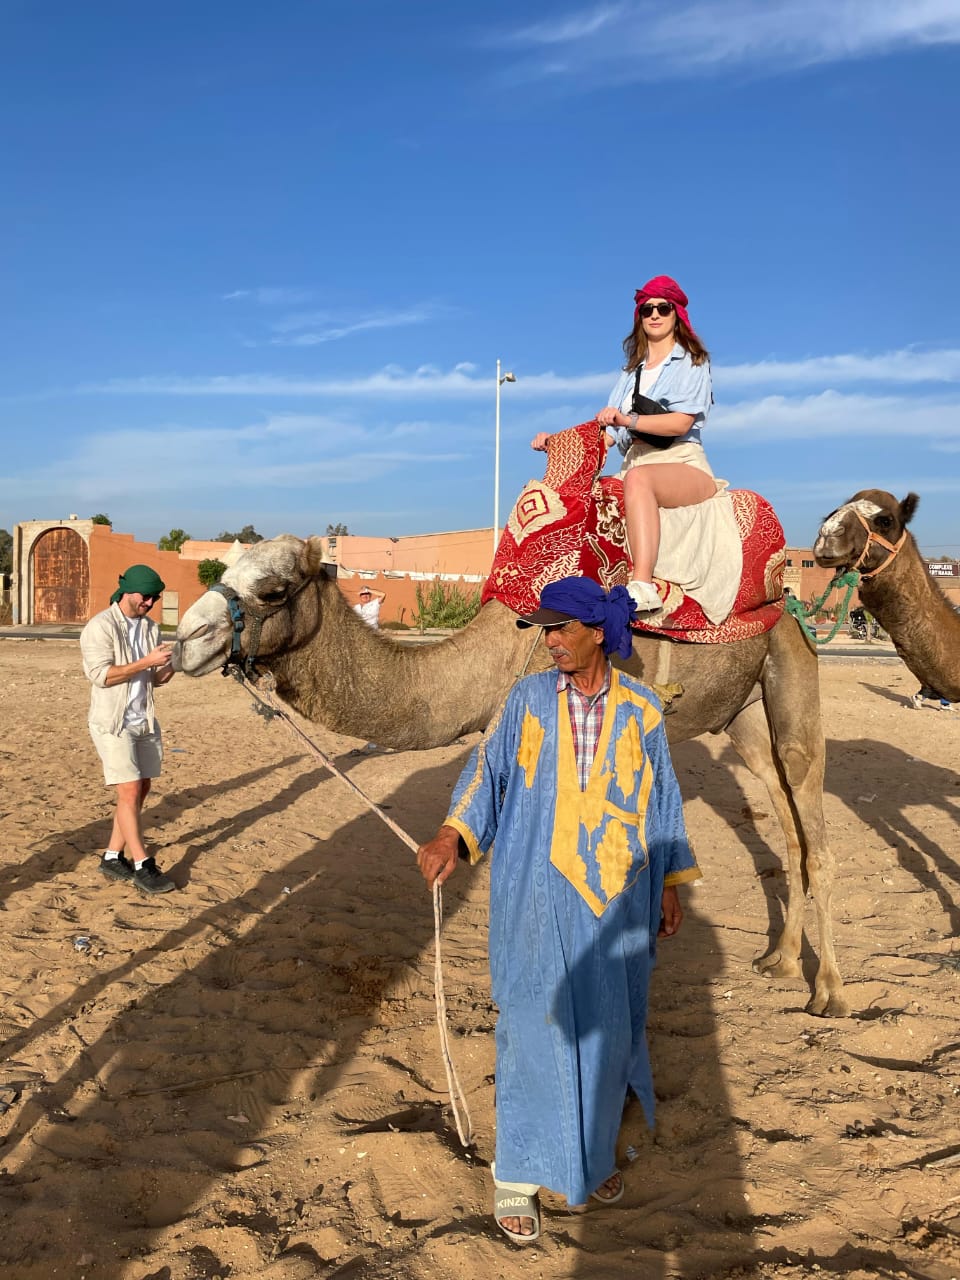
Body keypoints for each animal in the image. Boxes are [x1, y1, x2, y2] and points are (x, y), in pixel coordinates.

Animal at [173, 535, 848, 1017]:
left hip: (793, 674)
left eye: (273, 589)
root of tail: (790, 605)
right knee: (788, 824)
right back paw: (781, 961)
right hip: (745, 719)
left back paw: (830, 992)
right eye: (224, 570)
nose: (184, 640)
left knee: (814, 819)